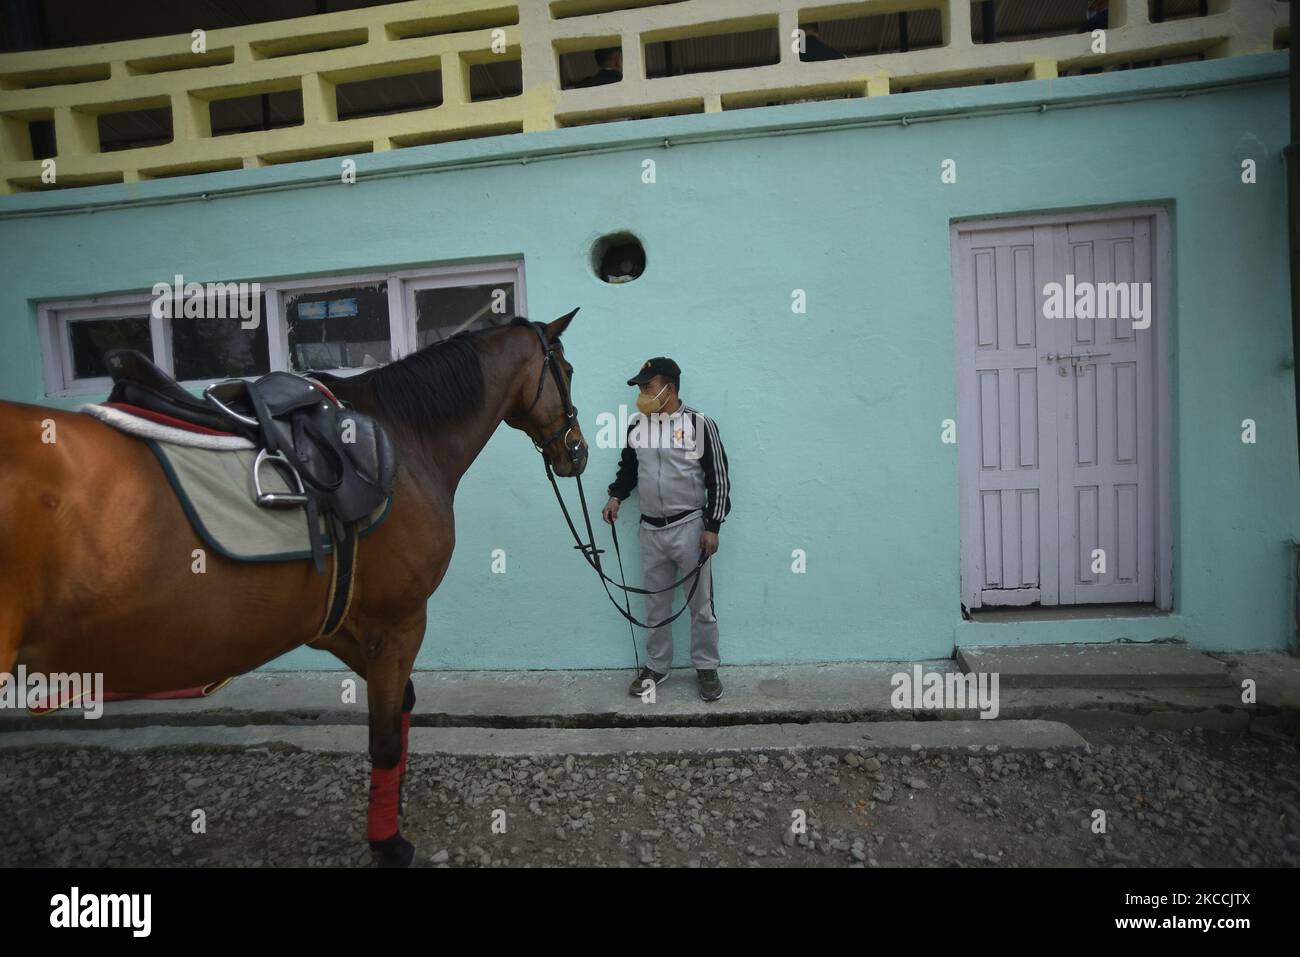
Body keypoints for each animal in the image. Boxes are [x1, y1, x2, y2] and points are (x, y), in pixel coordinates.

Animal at [0, 310, 590, 863]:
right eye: (566, 371)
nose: (578, 451)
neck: (403, 439)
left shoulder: (337, 624)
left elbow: (400, 709)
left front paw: (392, 811)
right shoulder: (397, 621)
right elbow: (383, 738)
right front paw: (388, 843)